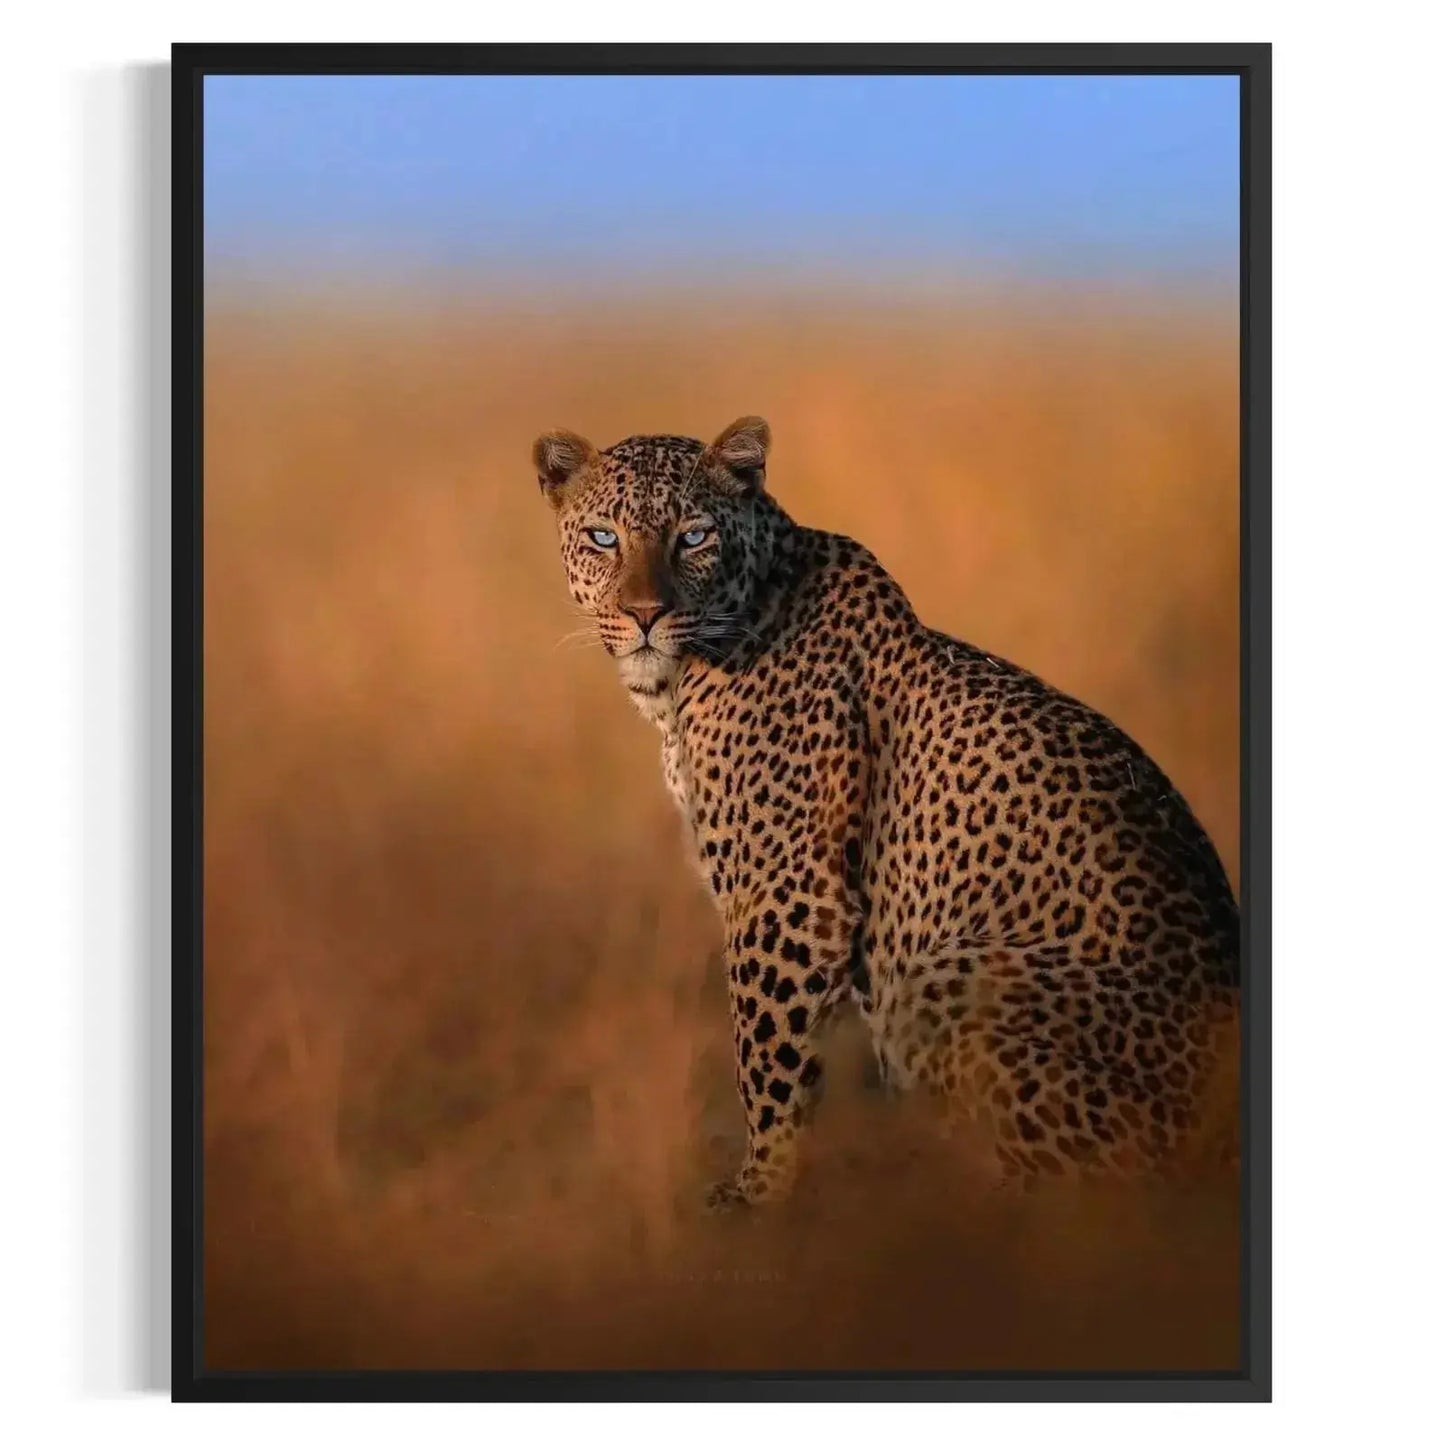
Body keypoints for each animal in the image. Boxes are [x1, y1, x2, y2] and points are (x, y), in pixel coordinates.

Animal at [532, 416, 1240, 1209]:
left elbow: (765, 1055)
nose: (644, 614)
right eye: (602, 537)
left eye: (692, 536)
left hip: (945, 979)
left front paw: (760, 1188)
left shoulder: (788, 893)